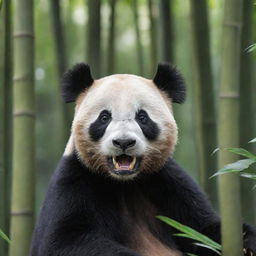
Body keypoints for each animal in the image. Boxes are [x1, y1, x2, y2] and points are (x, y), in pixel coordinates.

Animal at [30, 62, 256, 256]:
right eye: (104, 117)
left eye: (142, 117)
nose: (123, 142)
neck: (124, 182)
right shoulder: (75, 180)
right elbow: (64, 241)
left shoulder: (166, 181)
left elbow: (203, 229)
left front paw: (247, 244)